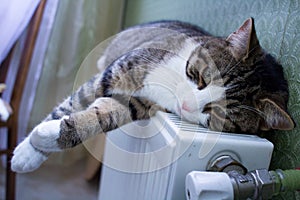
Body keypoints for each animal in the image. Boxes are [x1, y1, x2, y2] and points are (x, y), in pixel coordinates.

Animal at [11, 17, 292, 173]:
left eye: (218, 112)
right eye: (202, 78)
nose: (186, 105)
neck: (170, 85)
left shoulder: (138, 103)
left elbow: (105, 116)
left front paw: (47, 138)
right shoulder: (118, 71)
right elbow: (72, 103)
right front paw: (28, 152)